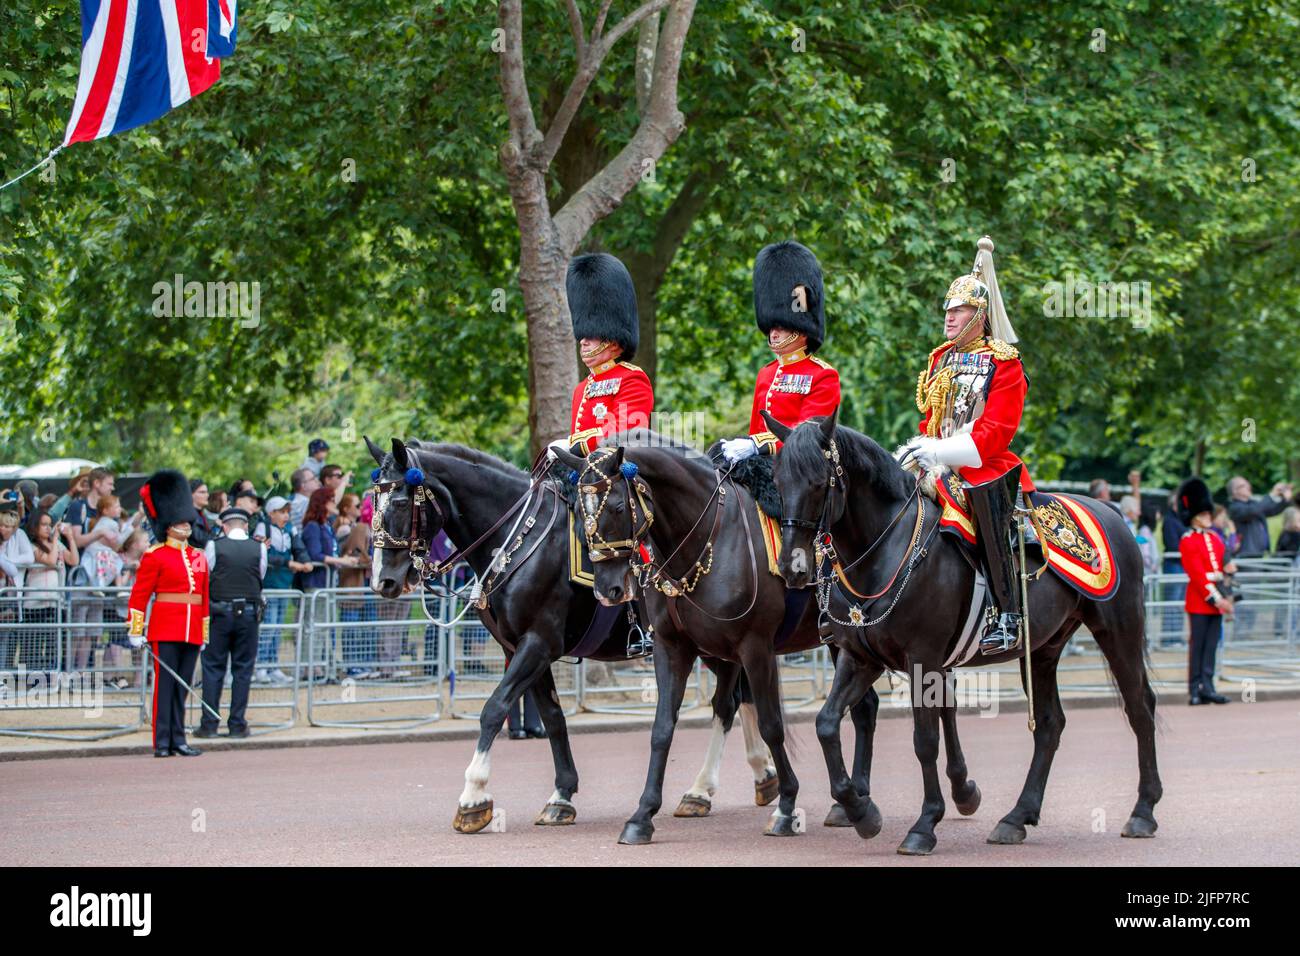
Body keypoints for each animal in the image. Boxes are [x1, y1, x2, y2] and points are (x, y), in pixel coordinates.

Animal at [366, 437, 785, 832]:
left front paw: (473, 797)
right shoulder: (518, 648)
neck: (518, 539)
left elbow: (494, 709)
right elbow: (552, 717)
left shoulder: (538, 644)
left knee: (727, 703)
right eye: (374, 501)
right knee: (736, 699)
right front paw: (562, 795)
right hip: (711, 645)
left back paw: (714, 786)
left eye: (400, 502)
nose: (383, 581)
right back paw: (757, 778)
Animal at [551, 434, 982, 842]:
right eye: (579, 514)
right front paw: (642, 816)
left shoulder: (755, 646)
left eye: (616, 507)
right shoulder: (673, 648)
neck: (706, 536)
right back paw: (858, 801)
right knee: (873, 708)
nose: (608, 589)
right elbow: (662, 729)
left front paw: (787, 804)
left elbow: (772, 723)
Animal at [759, 408, 1159, 858]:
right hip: (1042, 649)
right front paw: (863, 813)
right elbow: (826, 723)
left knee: (1140, 707)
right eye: (777, 481)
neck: (885, 548)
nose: (793, 568)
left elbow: (924, 740)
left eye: (818, 481)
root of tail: (1111, 512)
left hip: (1119, 630)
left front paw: (924, 824)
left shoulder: (923, 658)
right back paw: (1017, 817)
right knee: (1051, 724)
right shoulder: (861, 656)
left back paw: (1143, 812)